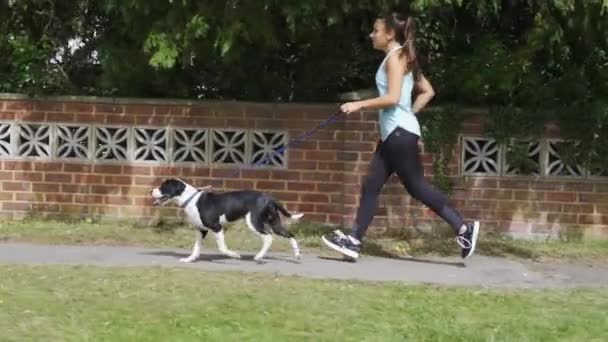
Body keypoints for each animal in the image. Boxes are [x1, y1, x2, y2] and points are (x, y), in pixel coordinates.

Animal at [152, 178, 304, 264]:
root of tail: (269, 198)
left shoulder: (217, 227)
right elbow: (196, 247)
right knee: (290, 235)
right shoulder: (201, 230)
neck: (191, 199)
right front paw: (189, 259)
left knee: (268, 237)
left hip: (254, 222)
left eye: (163, 186)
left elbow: (222, 247)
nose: (150, 191)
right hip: (275, 222)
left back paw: (259, 257)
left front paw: (235, 255)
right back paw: (297, 255)